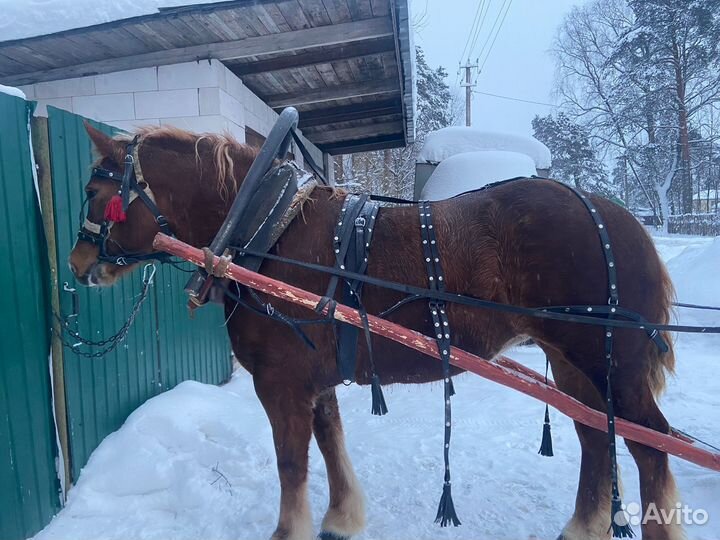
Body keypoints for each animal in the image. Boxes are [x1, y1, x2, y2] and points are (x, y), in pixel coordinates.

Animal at [70, 122, 683, 540]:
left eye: (95, 194)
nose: (77, 266)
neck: (268, 228)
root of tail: (619, 217)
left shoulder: (280, 384)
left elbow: (292, 463)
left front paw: (291, 530)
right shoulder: (313, 381)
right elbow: (331, 443)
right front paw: (341, 518)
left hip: (612, 365)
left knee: (650, 447)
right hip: (576, 364)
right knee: (596, 437)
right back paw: (580, 527)